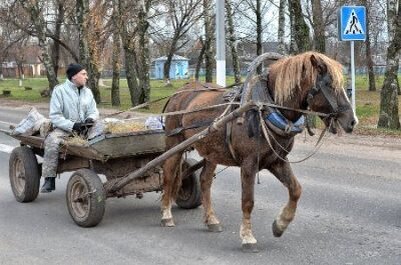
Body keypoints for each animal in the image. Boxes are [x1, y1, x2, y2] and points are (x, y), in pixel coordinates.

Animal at [159, 50, 356, 251]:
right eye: (329, 85)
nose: (352, 121)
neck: (264, 108)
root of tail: (181, 91)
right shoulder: (249, 164)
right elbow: (248, 201)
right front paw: (248, 236)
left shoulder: (277, 161)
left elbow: (296, 190)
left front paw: (280, 225)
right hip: (174, 145)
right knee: (168, 176)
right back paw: (166, 215)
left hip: (211, 152)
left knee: (205, 181)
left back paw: (211, 220)